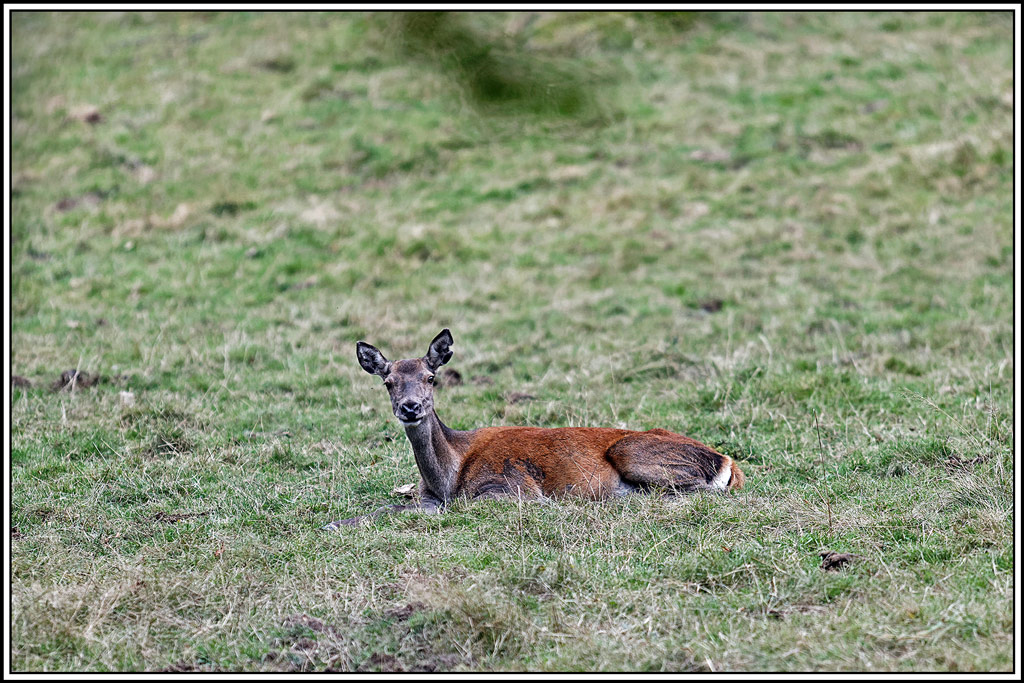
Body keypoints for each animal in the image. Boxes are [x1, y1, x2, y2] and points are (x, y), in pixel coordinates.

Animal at [323, 329, 744, 529]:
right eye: (388, 382)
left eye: (431, 377)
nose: (410, 408)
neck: (448, 476)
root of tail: (729, 463)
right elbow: (390, 506)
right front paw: (333, 523)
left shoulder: (514, 489)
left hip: (631, 452)